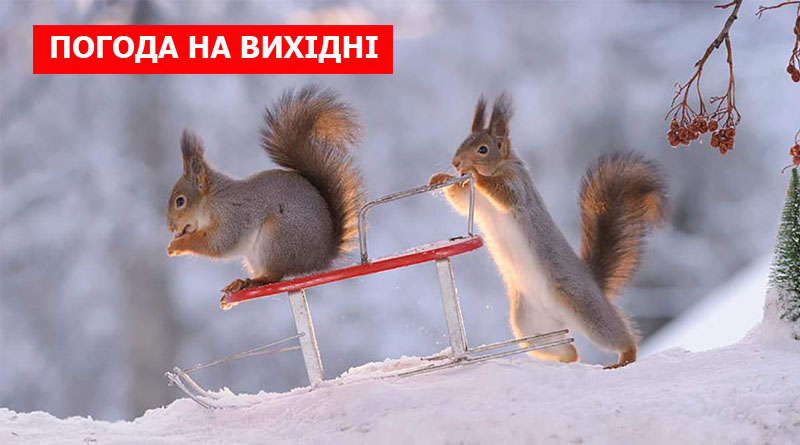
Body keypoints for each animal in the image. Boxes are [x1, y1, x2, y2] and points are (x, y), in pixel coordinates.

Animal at [166, 86, 365, 308]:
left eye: (180, 201)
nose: (171, 227)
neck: (212, 200)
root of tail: (320, 258)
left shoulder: (233, 215)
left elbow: (219, 243)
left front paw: (177, 246)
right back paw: (240, 283)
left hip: (277, 240)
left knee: (274, 276)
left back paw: (251, 282)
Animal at [430, 93, 667, 368]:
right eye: (462, 143)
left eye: (483, 149)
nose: (456, 162)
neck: (502, 166)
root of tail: (595, 285)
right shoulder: (477, 204)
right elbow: (459, 200)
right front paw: (440, 178)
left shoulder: (518, 187)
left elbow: (504, 194)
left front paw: (476, 174)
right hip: (530, 325)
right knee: (568, 350)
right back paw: (563, 361)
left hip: (585, 309)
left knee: (618, 335)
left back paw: (625, 356)